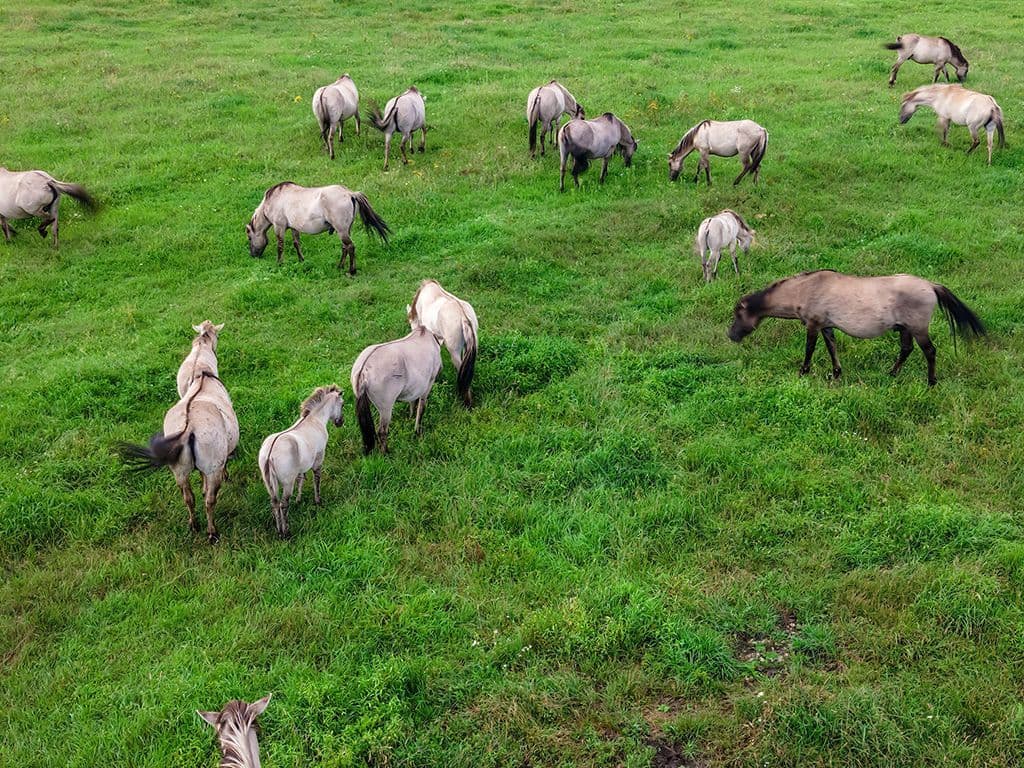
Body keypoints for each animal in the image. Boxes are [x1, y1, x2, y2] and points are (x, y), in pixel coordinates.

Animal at [119, 322, 239, 542]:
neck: (202, 375)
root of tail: (189, 428)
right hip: (212, 468)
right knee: (210, 500)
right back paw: (212, 533)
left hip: (179, 471)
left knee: (188, 498)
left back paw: (193, 525)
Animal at [245, 181, 390, 274]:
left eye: (249, 238)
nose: (253, 255)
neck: (271, 200)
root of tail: (350, 194)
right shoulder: (294, 227)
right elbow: (296, 243)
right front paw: (301, 260)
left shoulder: (279, 226)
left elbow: (280, 246)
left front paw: (279, 263)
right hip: (345, 230)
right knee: (345, 247)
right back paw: (340, 266)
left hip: (341, 230)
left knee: (350, 247)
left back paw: (351, 271)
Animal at [258, 385, 344, 538]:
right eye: (342, 404)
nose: (340, 422)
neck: (315, 420)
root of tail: (269, 454)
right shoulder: (318, 458)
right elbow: (316, 479)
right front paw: (318, 501)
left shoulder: (300, 468)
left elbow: (301, 478)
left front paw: (299, 500)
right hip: (287, 484)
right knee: (283, 504)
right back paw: (286, 532)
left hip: (269, 484)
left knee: (274, 503)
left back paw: (279, 530)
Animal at [351, 324, 442, 454]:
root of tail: (363, 371)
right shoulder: (428, 384)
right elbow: (421, 408)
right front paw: (417, 431)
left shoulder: (415, 388)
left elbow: (412, 402)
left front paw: (410, 418)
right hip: (386, 407)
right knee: (382, 431)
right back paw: (386, 453)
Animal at [727, 270, 984, 386]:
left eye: (738, 315)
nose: (731, 335)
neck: (806, 289)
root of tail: (931, 285)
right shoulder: (826, 326)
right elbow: (832, 348)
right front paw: (836, 373)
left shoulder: (813, 325)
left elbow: (810, 350)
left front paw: (803, 372)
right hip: (904, 328)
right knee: (906, 350)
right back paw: (891, 374)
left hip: (918, 329)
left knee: (929, 352)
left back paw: (931, 382)